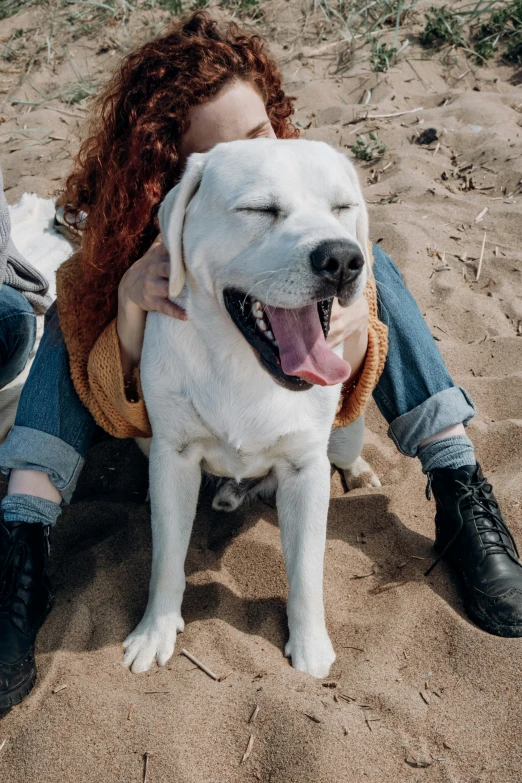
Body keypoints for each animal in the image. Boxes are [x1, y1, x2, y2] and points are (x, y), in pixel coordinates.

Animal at [125, 141, 378, 680]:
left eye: (342, 207)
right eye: (260, 209)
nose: (344, 259)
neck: (244, 366)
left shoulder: (306, 470)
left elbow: (307, 569)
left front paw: (309, 644)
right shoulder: (173, 457)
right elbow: (166, 558)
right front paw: (155, 631)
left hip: (344, 433)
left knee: (347, 451)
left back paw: (360, 472)